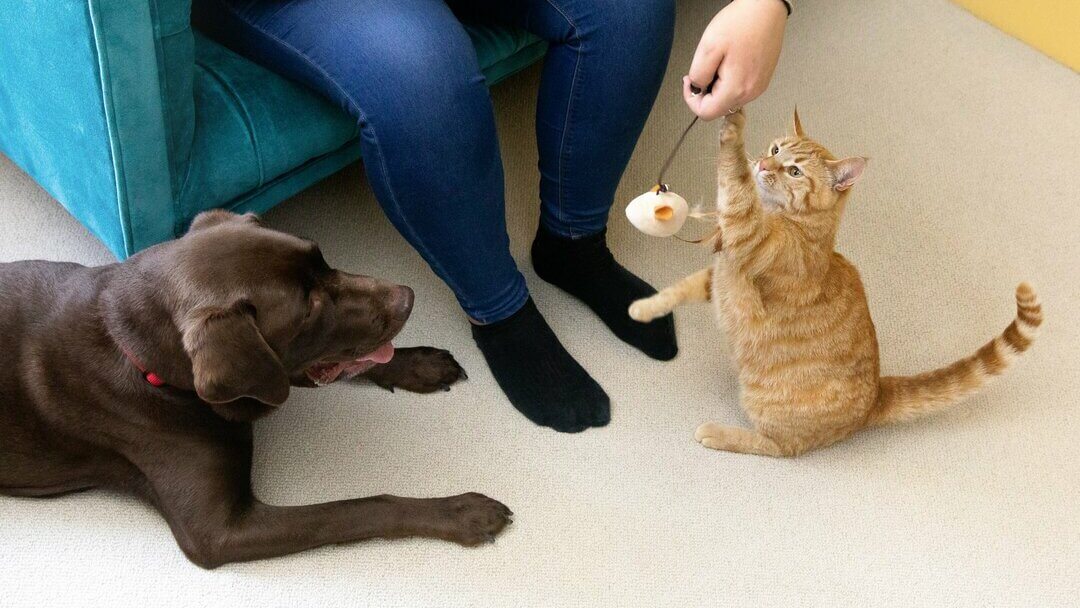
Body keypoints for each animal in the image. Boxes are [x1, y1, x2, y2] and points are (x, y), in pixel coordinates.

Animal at [0, 211, 511, 570]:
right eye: (311, 310)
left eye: (324, 259)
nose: (408, 297)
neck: (139, 357)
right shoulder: (219, 533)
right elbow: (357, 508)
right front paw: (462, 512)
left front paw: (418, 364)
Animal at [630, 107, 1041, 457]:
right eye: (775, 149)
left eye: (794, 171)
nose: (763, 162)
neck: (793, 222)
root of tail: (876, 396)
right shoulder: (719, 276)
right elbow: (678, 289)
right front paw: (644, 310)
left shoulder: (747, 232)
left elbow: (734, 180)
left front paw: (733, 127)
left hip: (763, 404)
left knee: (778, 447)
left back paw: (719, 433)